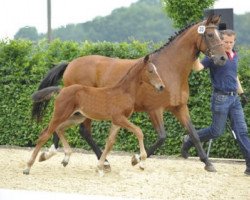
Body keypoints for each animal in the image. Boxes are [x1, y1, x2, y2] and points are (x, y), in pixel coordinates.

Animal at [23, 55, 164, 175]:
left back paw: (66, 156)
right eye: (150, 70)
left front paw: (101, 166)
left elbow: (110, 143)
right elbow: (139, 131)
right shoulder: (119, 118)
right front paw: (142, 162)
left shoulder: (117, 121)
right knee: (44, 135)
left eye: (156, 70)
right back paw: (27, 167)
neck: (124, 92)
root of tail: (62, 89)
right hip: (60, 114)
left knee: (59, 128)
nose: (162, 86)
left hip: (77, 117)